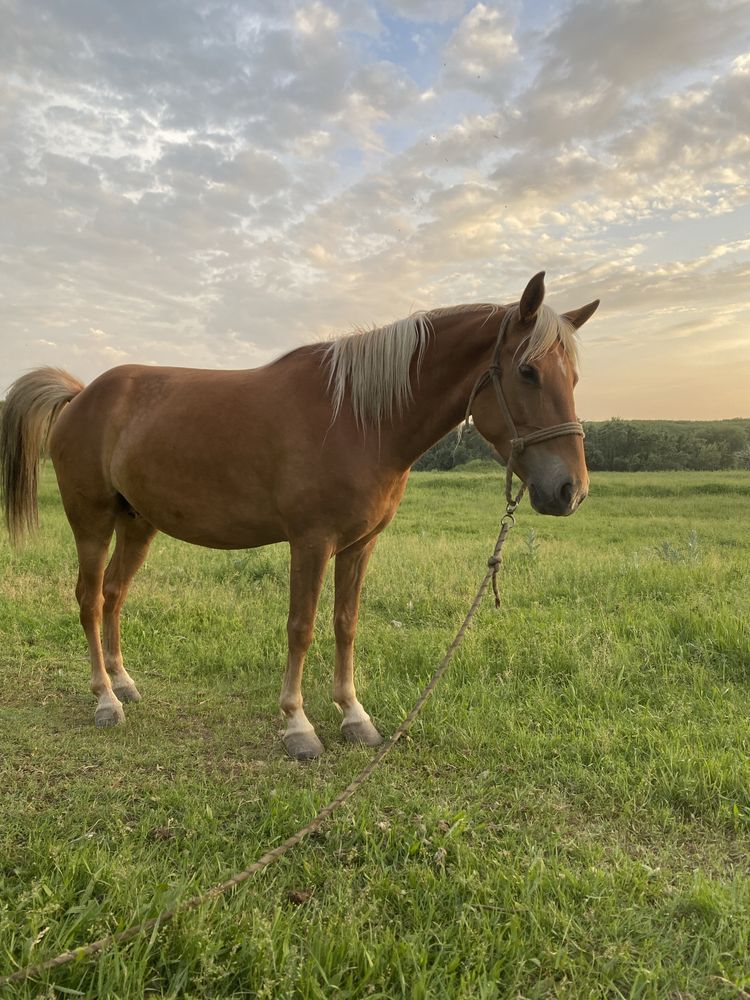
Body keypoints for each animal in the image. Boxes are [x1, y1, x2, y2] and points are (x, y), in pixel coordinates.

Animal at [0, 272, 600, 756]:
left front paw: (354, 717)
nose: (569, 490)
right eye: (528, 371)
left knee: (113, 595)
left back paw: (123, 682)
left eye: (573, 379)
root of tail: (82, 395)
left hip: (138, 524)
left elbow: (345, 623)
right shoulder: (312, 542)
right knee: (88, 599)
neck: (359, 418)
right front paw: (298, 725)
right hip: (92, 523)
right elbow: (302, 627)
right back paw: (105, 700)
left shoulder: (360, 545)